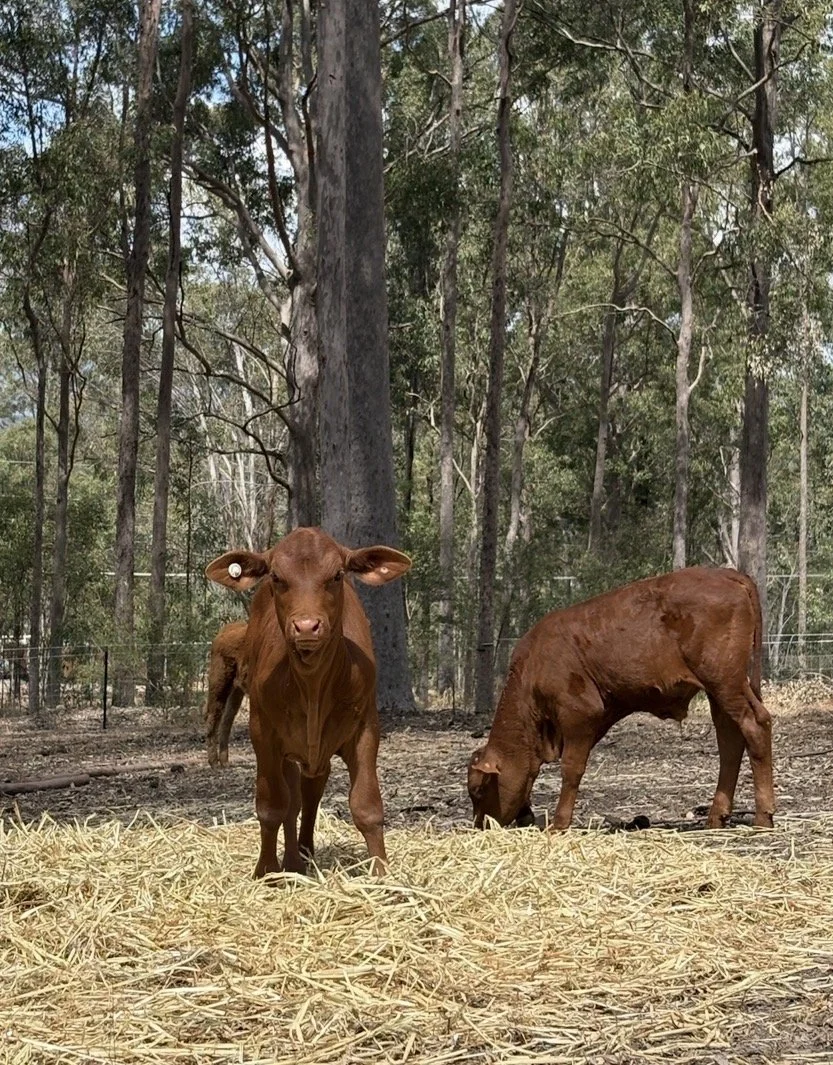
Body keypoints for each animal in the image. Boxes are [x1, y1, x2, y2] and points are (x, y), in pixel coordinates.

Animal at [205, 620, 248, 768]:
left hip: (236, 691)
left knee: (226, 721)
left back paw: (224, 761)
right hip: (219, 685)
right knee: (212, 718)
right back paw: (213, 762)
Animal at [468, 567, 775, 832]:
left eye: (478, 789)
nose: (480, 824)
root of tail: (727, 573)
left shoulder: (579, 714)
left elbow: (571, 769)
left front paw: (559, 824)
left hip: (725, 682)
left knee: (755, 724)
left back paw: (763, 816)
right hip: (719, 690)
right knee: (730, 738)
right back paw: (716, 817)